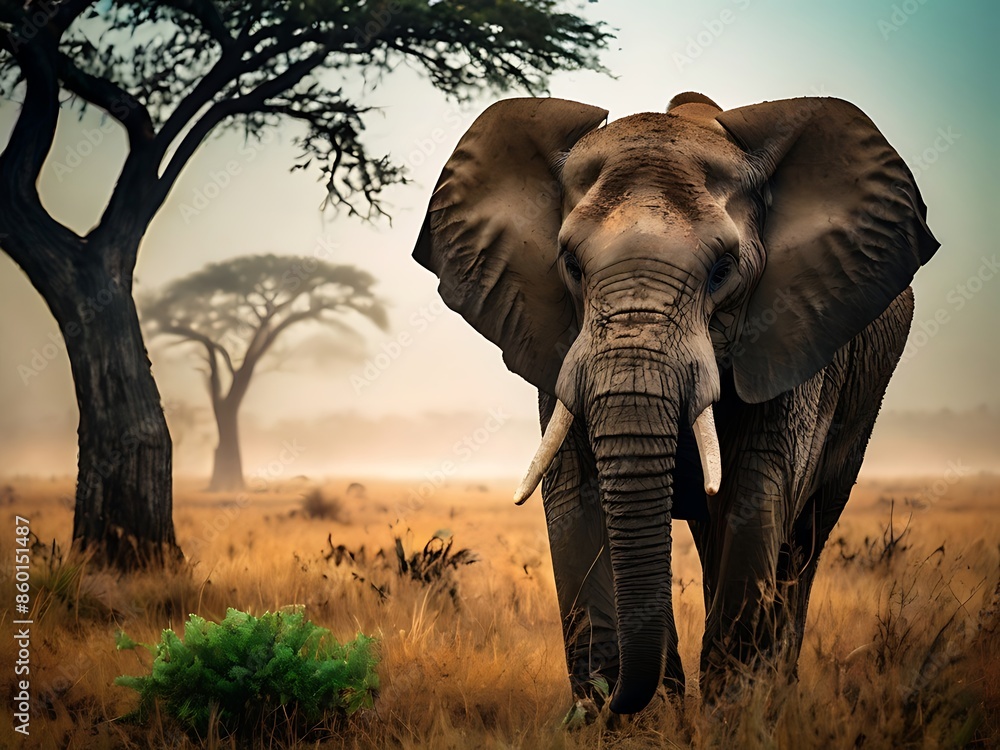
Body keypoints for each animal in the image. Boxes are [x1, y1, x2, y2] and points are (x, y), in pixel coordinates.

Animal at [412, 92, 938, 714]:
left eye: (722, 271)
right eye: (570, 265)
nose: (608, 697)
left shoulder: (791, 328)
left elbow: (756, 489)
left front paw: (730, 715)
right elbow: (577, 495)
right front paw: (632, 718)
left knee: (802, 539)